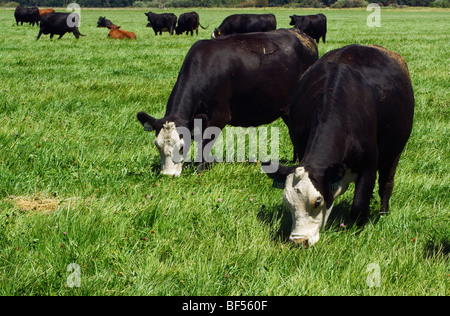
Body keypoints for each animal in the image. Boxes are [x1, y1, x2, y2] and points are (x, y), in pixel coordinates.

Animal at [136, 28, 316, 177]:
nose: (168, 175)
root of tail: (301, 34)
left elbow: (204, 143)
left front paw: (201, 170)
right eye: (157, 145)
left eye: (181, 147)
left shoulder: (220, 115)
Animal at [264, 44, 414, 247]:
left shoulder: (369, 164)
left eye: (318, 201)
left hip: (393, 152)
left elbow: (359, 205)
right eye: (287, 202)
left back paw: (383, 213)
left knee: (386, 184)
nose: (299, 241)